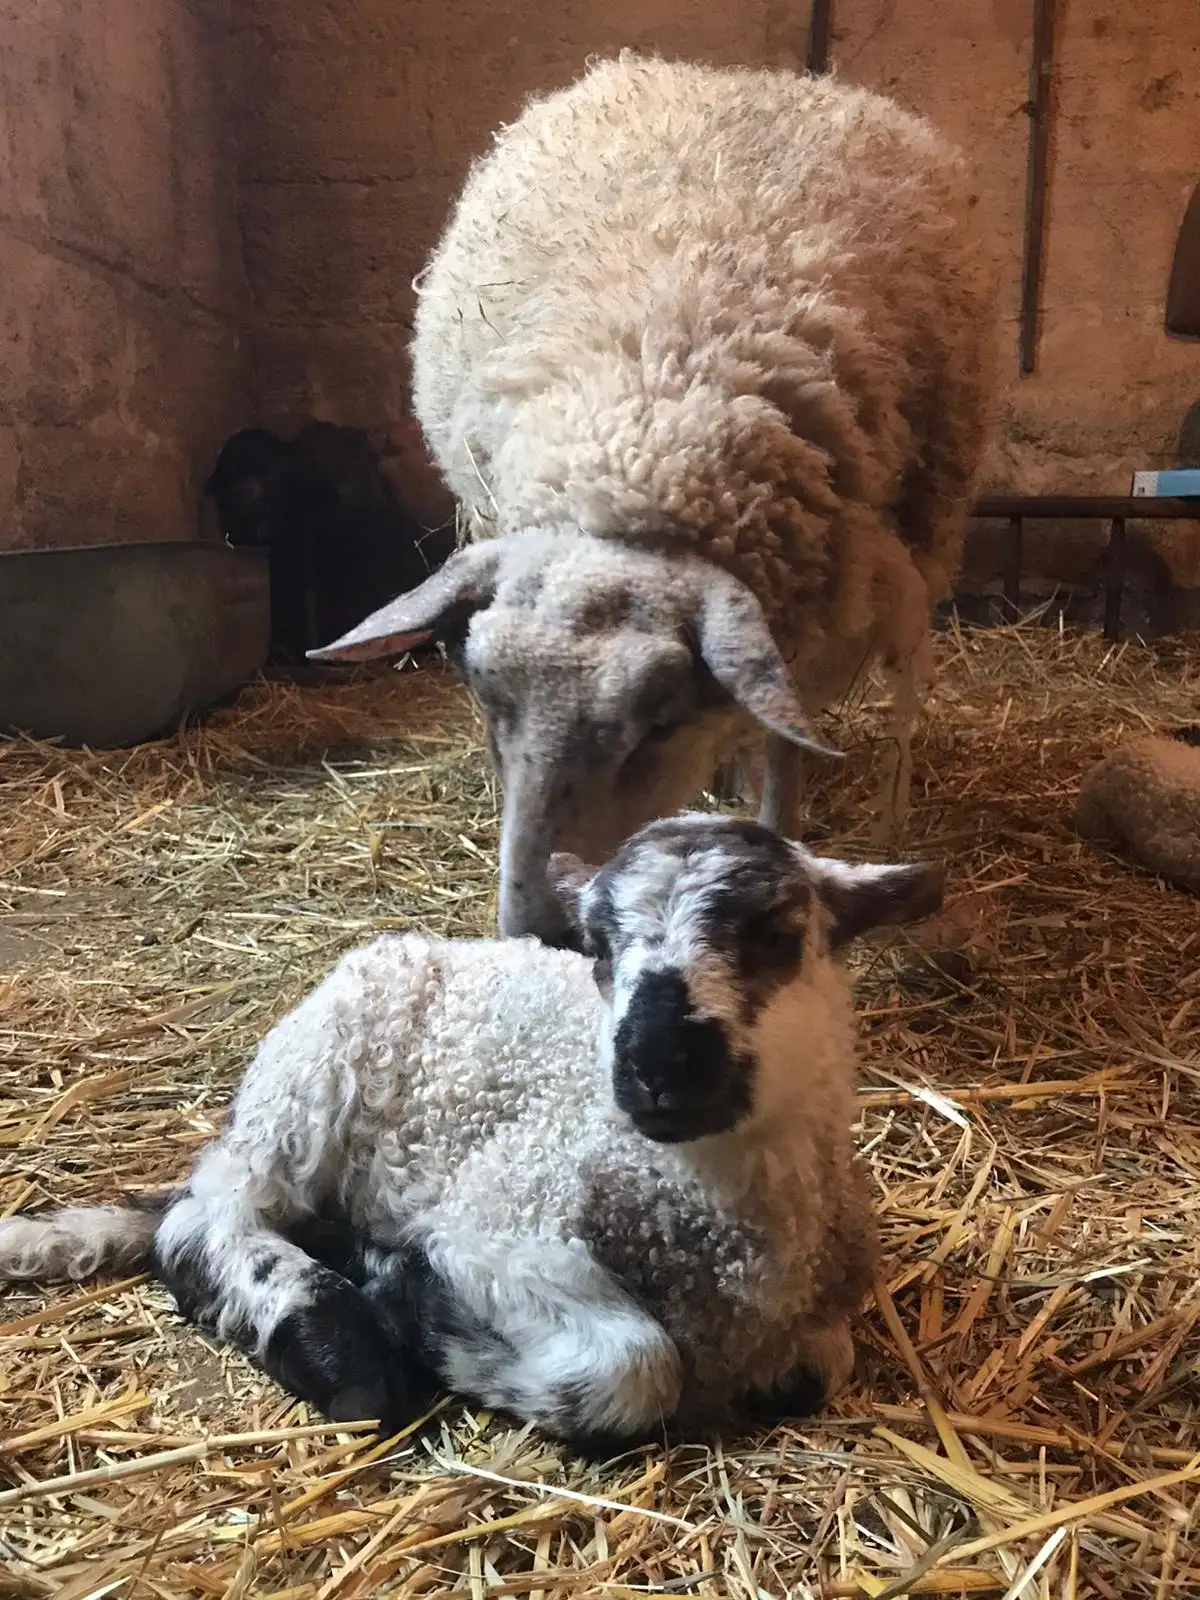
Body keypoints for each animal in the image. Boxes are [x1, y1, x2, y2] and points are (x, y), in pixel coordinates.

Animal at [0, 814, 945, 1448]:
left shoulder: (815, 1325)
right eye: (599, 946)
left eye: (776, 936)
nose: (653, 1063)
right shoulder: (499, 1229)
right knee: (207, 1218)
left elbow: (820, 1371)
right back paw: (343, 1346)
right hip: (307, 1089)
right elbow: (635, 1370)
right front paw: (412, 1302)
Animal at [308, 52, 999, 946]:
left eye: (659, 718)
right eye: (483, 694)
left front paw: (772, 826)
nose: (537, 928)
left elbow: (786, 756)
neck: (647, 423)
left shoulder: (812, 631)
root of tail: (745, 75)